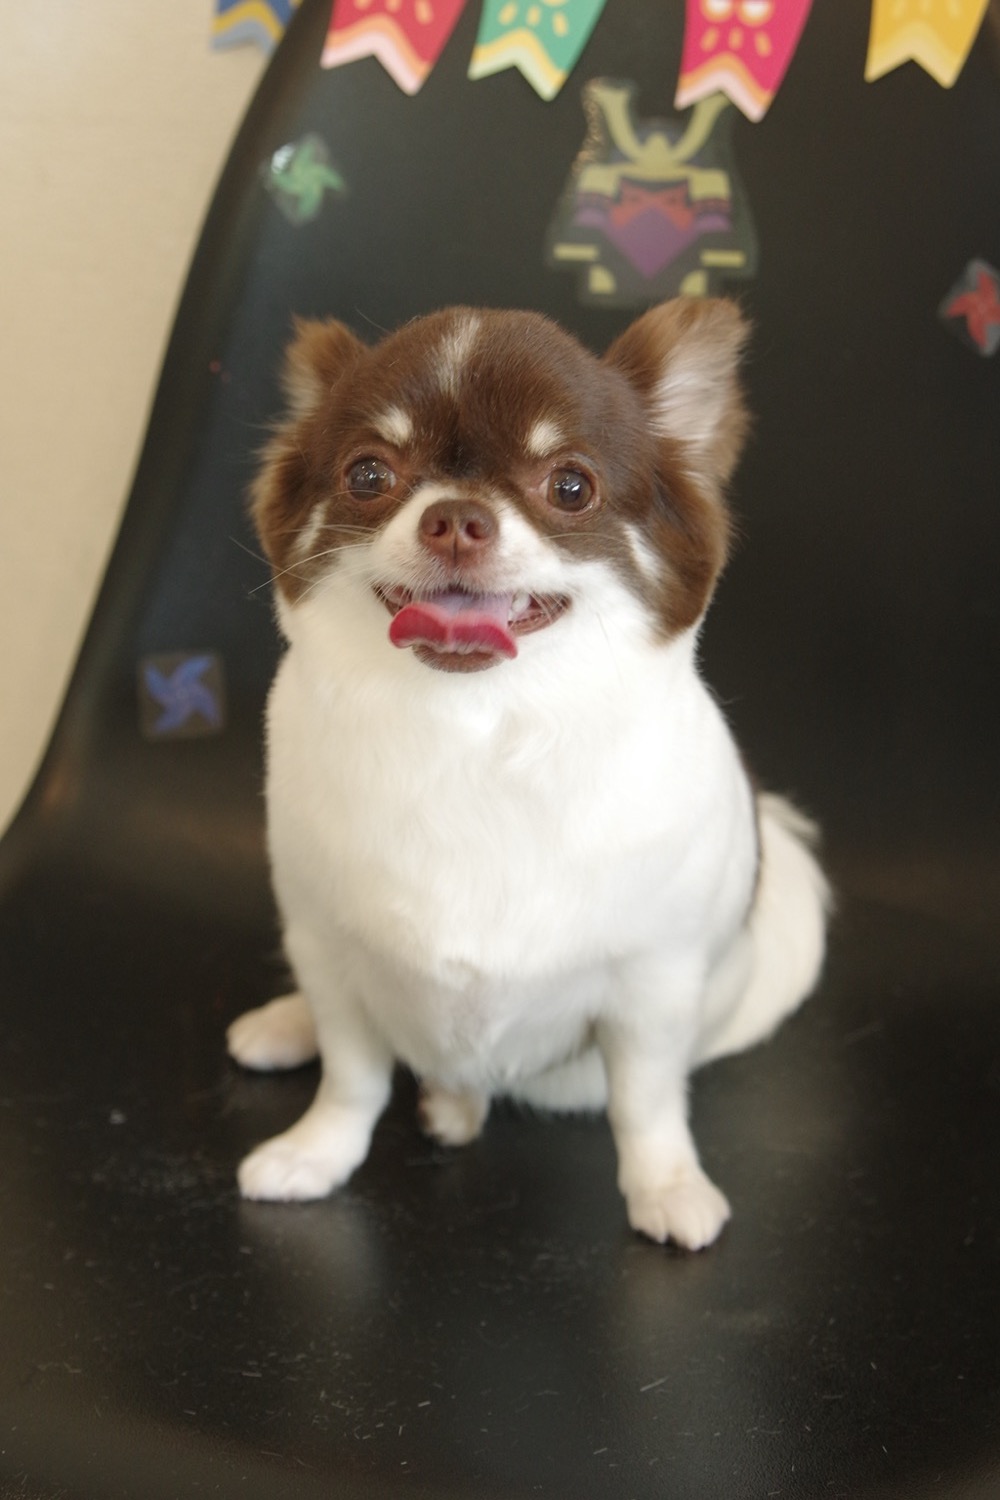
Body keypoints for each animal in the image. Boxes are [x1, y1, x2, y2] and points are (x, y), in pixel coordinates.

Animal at [227, 298, 828, 1250]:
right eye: (368, 474)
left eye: (570, 486)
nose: (455, 517)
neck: (473, 727)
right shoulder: (330, 950)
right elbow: (354, 1077)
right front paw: (315, 1154)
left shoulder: (652, 988)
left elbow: (647, 1103)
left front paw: (667, 1188)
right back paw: (293, 1029)